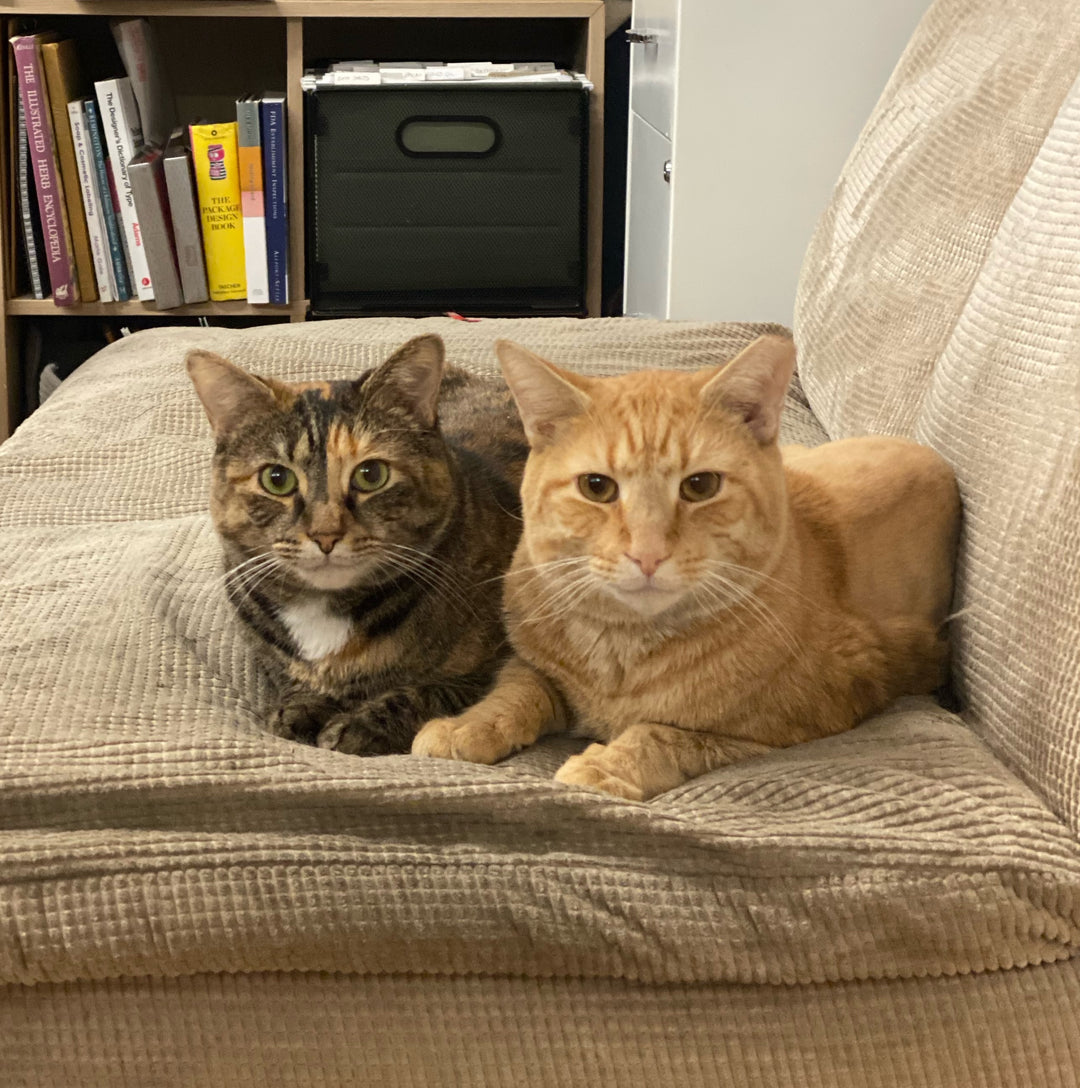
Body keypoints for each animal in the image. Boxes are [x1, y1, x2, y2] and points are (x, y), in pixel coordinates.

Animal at [187, 335, 528, 752]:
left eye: (371, 474)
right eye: (276, 479)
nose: (326, 534)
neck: (323, 612)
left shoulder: (492, 666)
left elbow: (427, 693)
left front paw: (359, 725)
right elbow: (292, 682)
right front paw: (300, 708)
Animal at [413, 335, 961, 805]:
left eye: (700, 486)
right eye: (596, 487)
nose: (648, 554)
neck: (622, 648)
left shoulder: (784, 727)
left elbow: (662, 735)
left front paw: (607, 765)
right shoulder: (532, 664)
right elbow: (515, 692)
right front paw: (466, 726)